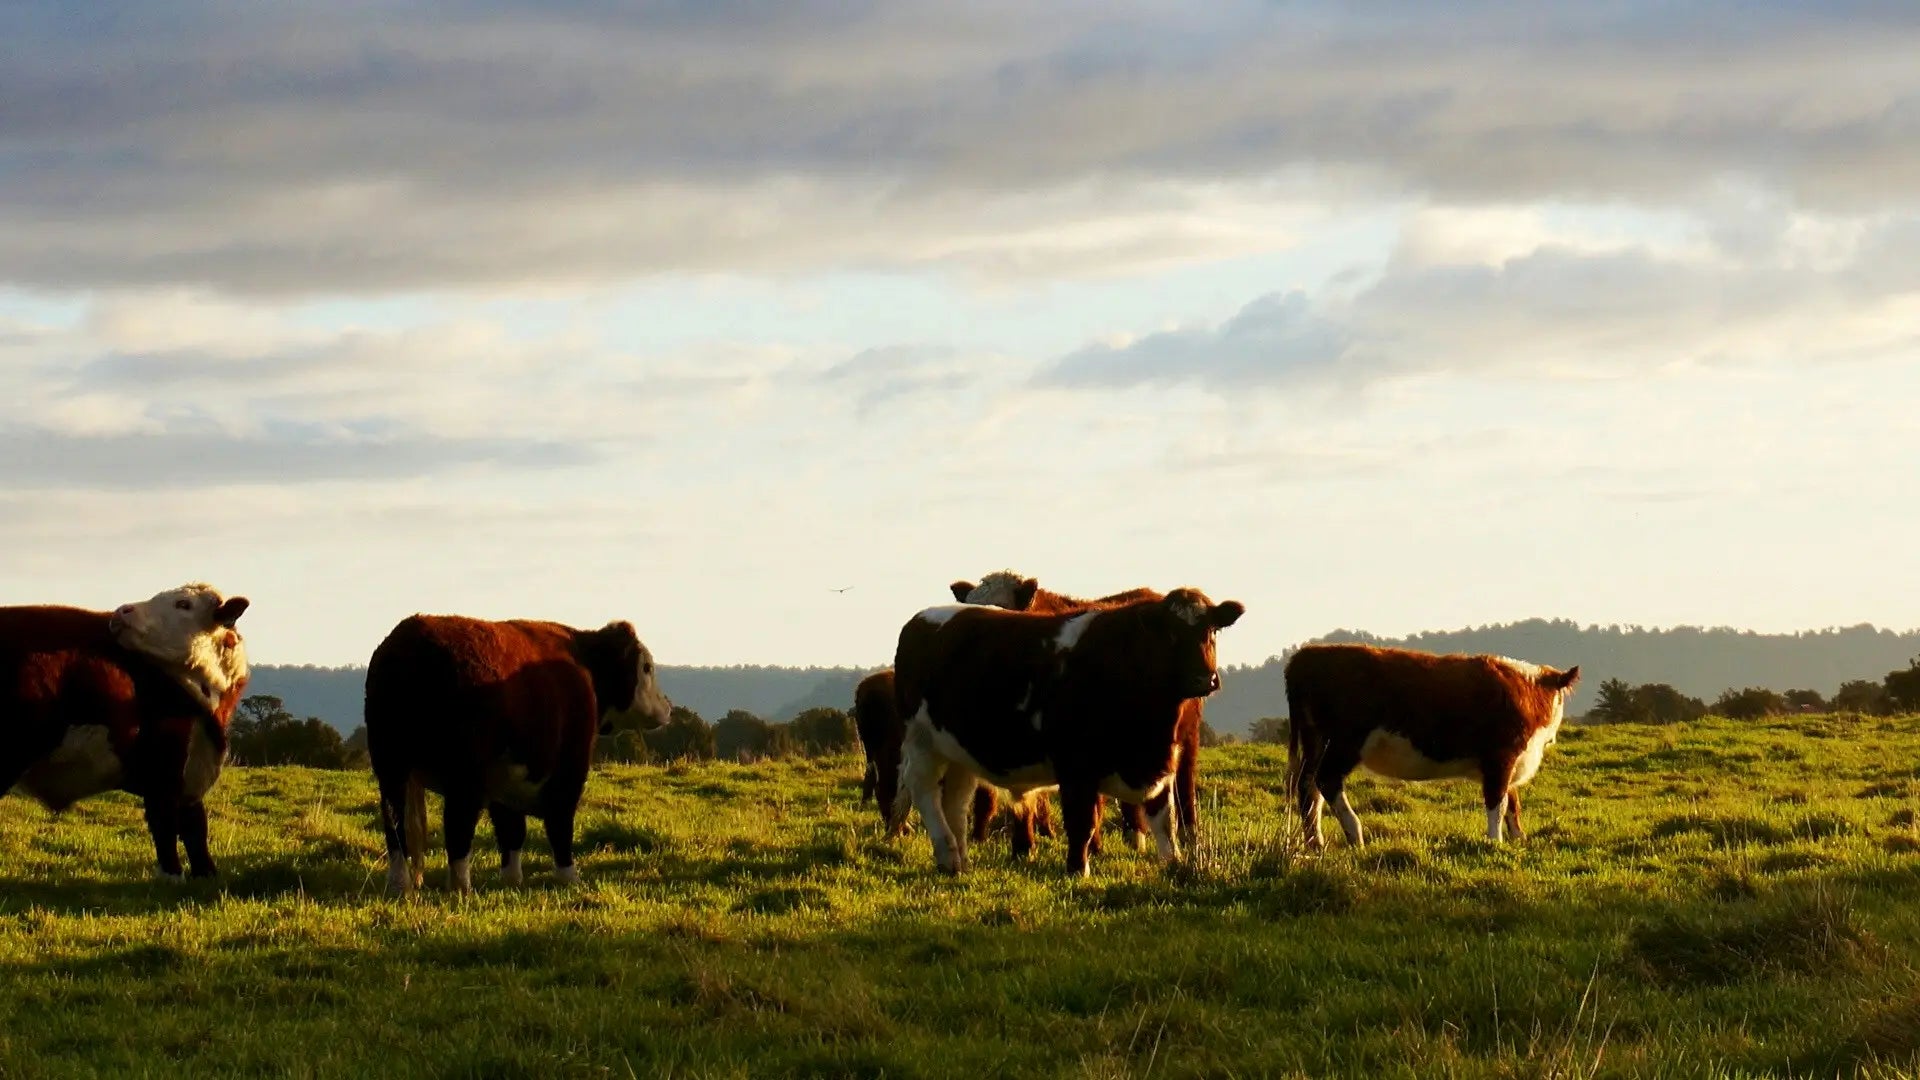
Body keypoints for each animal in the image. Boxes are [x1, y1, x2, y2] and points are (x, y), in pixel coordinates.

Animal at [1, 583, 251, 878]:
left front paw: (206, 873)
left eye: (183, 604)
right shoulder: (163, 766)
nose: (122, 610)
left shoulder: (192, 772)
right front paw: (171, 874)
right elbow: (165, 823)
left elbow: (195, 829)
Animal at [365, 614, 672, 893]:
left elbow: (511, 829)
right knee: (457, 825)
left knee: (394, 824)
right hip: (463, 774)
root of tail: (410, 638)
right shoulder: (569, 770)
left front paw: (512, 879)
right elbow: (559, 824)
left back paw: (400, 883)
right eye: (646, 667)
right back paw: (461, 886)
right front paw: (568, 877)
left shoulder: (505, 779)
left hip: (391, 767)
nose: (668, 707)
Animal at [889, 588, 1243, 876]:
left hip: (957, 748)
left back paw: (959, 859)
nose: (1204, 679)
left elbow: (1165, 820)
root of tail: (923, 618)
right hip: (921, 740)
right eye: (1170, 634)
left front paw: (1173, 863)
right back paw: (947, 855)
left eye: (1211, 630)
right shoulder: (1076, 765)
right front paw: (1077, 869)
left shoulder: (1160, 760)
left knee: (956, 799)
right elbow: (1081, 821)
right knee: (924, 790)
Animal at [1283, 644, 1580, 847]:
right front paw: (1494, 842)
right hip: (1345, 743)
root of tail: (1307, 655)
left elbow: (1512, 803)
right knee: (1326, 780)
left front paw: (1519, 839)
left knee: (1308, 787)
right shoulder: (1501, 757)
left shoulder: (1509, 762)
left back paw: (1315, 842)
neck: (1525, 692)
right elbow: (1498, 802)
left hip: (1316, 741)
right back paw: (1355, 833)